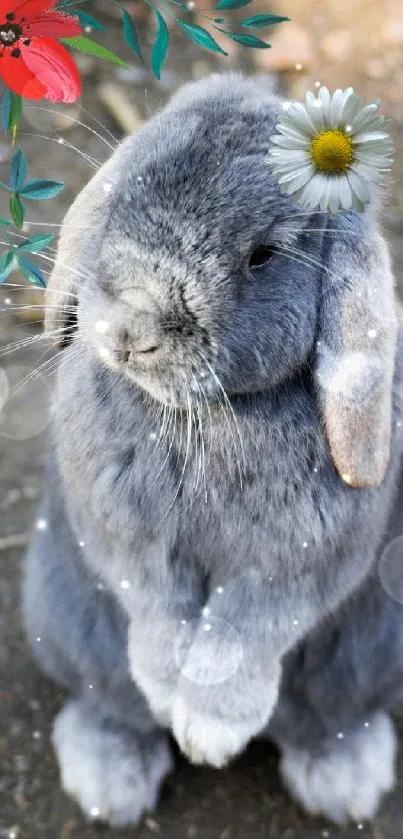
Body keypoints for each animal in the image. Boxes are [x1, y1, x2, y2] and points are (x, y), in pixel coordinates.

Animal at [23, 75, 403, 832]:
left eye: (263, 255)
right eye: (124, 192)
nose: (130, 330)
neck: (207, 415)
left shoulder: (292, 569)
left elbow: (243, 631)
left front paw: (209, 732)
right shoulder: (129, 545)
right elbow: (158, 611)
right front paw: (172, 697)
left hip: (370, 656)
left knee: (329, 719)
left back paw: (345, 780)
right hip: (67, 619)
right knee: (110, 703)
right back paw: (108, 781)